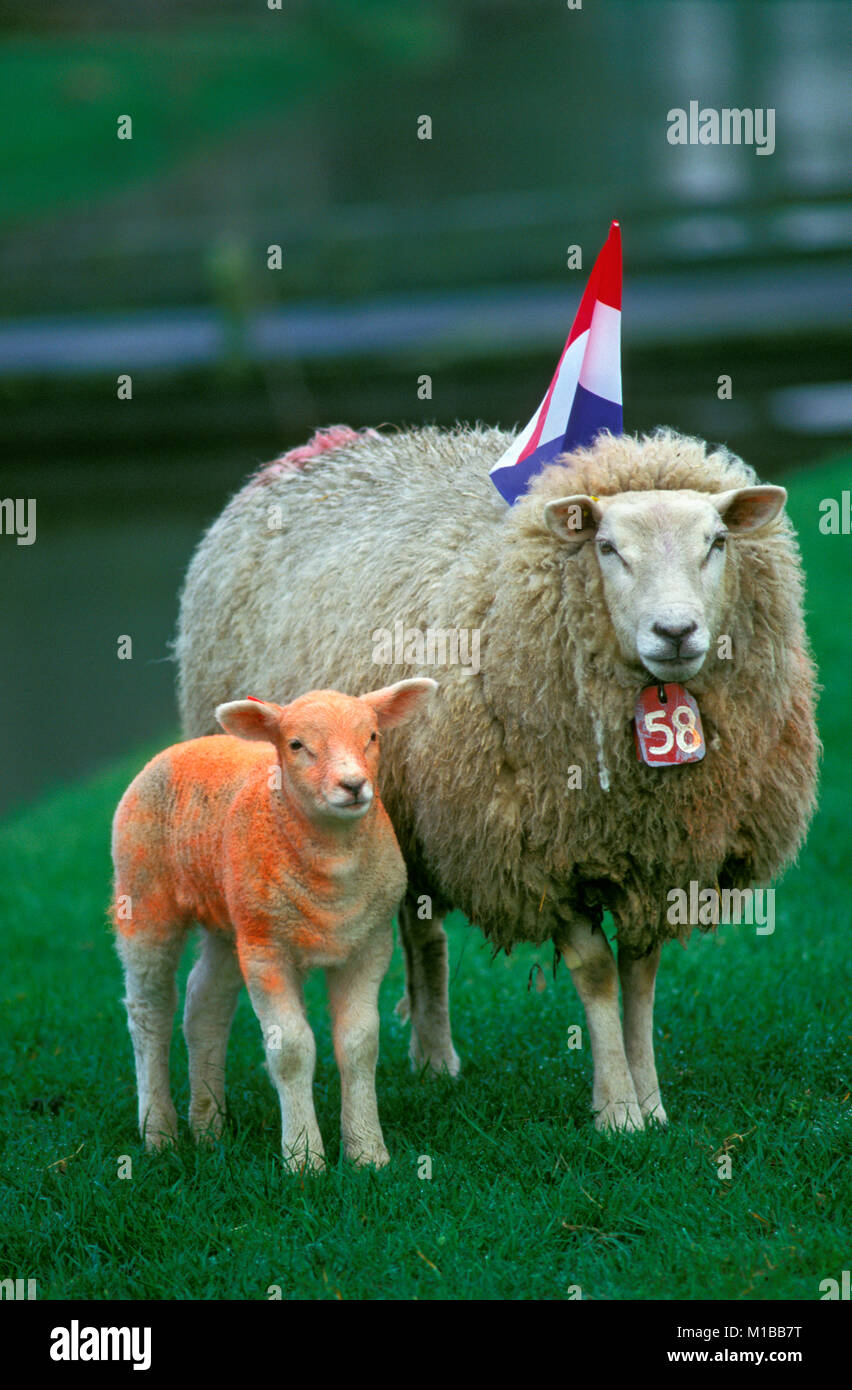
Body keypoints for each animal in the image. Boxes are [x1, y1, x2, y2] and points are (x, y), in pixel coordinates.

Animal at [111, 678, 437, 1168]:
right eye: (297, 745)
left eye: (373, 736)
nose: (354, 785)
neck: (332, 871)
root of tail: (186, 746)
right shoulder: (268, 953)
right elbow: (293, 1050)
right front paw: (303, 1158)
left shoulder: (368, 945)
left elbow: (359, 1045)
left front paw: (368, 1153)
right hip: (146, 898)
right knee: (150, 1012)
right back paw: (159, 1132)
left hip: (233, 920)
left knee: (204, 1004)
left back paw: (208, 1127)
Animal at [175, 424, 819, 1132]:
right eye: (607, 547)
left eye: (718, 542)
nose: (675, 632)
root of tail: (311, 452)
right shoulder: (544, 855)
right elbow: (597, 973)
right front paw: (618, 1112)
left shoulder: (656, 859)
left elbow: (640, 974)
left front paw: (649, 1102)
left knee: (421, 927)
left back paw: (433, 1058)